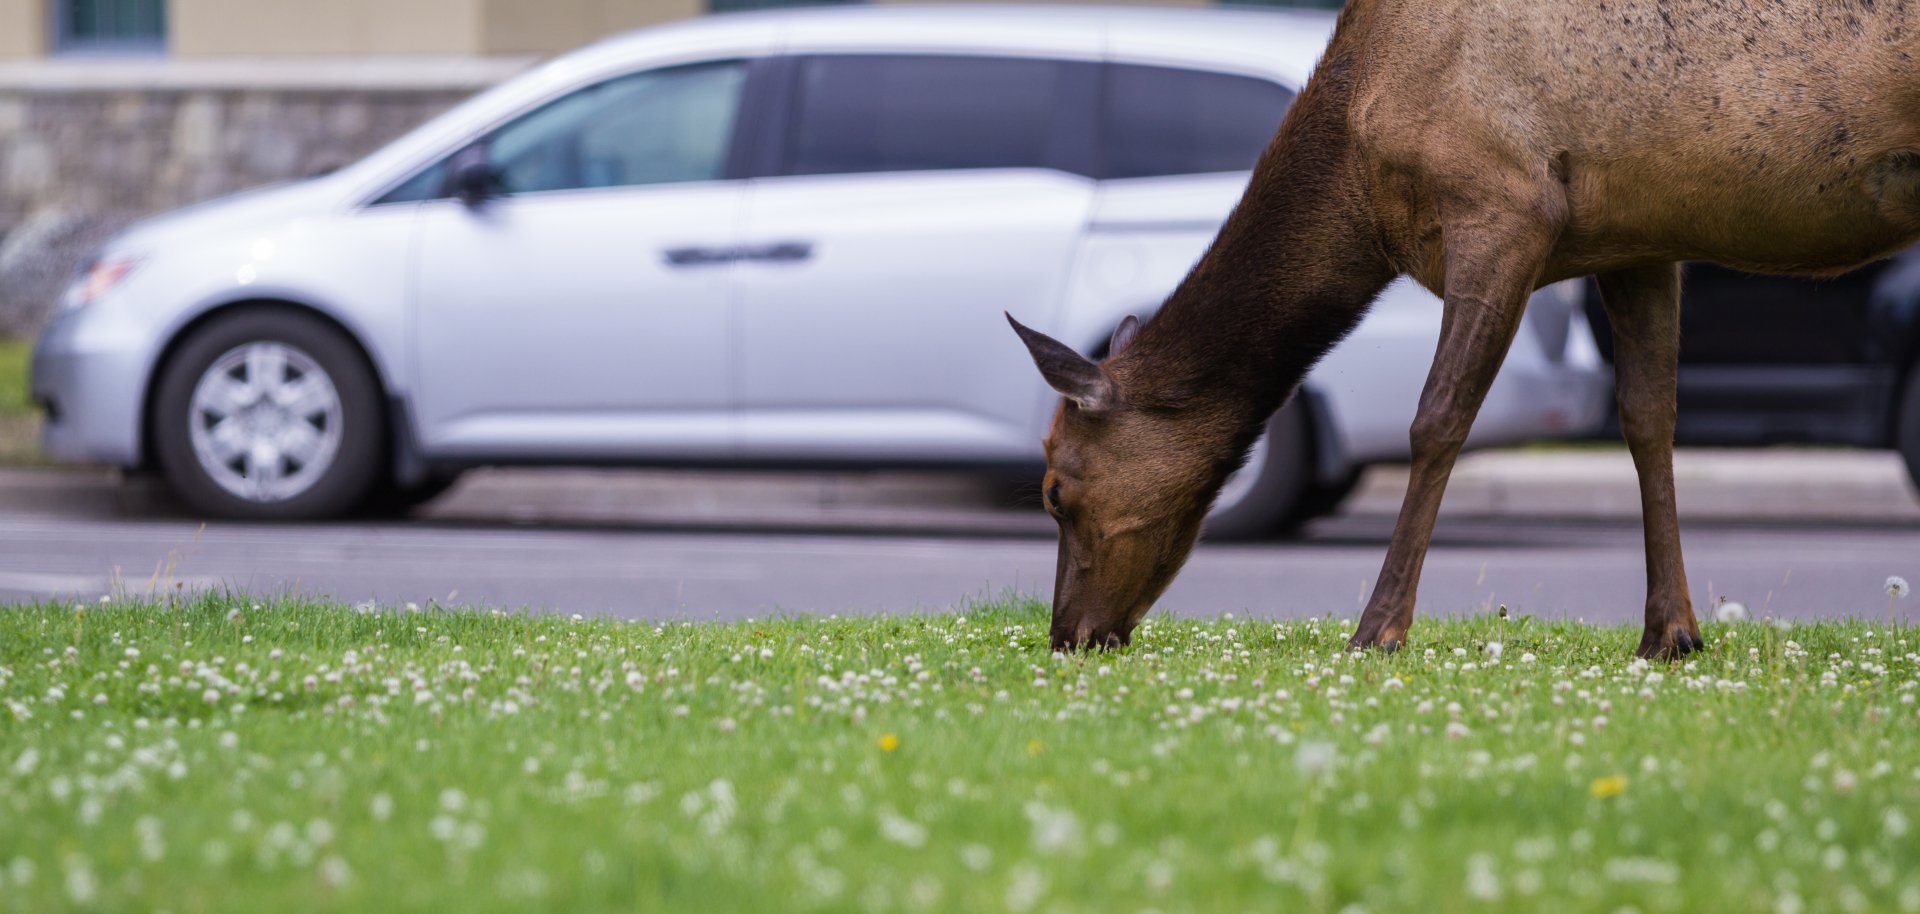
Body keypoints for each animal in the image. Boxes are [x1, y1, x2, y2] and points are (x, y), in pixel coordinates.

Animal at [1009, 0, 1920, 659]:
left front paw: (1378, 630)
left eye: (1055, 490)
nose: (1069, 636)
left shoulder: (1504, 203)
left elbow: (1437, 420)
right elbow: (1647, 420)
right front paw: (1670, 634)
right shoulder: (1639, 237)